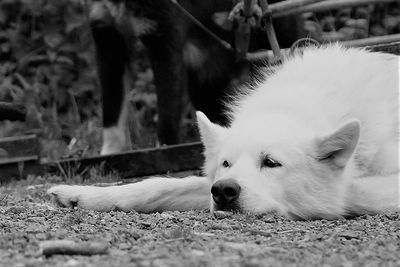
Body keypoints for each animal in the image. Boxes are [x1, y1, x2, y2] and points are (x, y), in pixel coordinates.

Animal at [48, 45, 398, 221]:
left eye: (271, 163)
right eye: (226, 164)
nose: (224, 191)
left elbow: (350, 191)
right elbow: (157, 185)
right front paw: (82, 196)